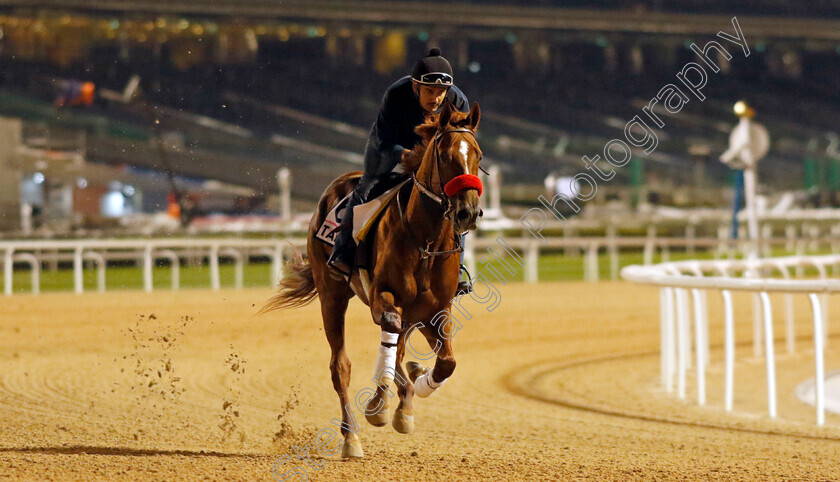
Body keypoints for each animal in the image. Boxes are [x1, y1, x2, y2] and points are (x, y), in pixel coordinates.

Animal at [262, 100, 486, 456]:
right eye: (443, 153)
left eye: (477, 153)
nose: (468, 211)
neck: (425, 241)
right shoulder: (384, 298)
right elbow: (388, 348)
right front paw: (379, 408)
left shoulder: (436, 309)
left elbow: (446, 363)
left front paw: (416, 386)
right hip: (332, 295)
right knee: (341, 366)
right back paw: (351, 437)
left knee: (401, 353)